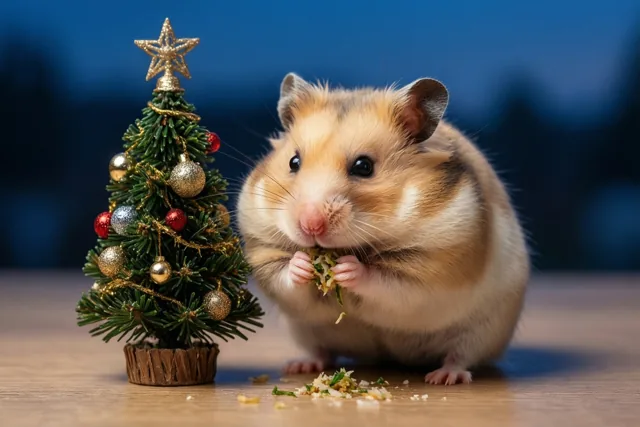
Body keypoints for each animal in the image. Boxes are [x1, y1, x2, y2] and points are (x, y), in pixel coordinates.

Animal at [236, 73, 529, 385]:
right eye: (294, 162)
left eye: (364, 166)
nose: (310, 224)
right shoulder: (263, 250)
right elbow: (285, 278)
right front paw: (302, 263)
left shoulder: (431, 269)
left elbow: (384, 283)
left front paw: (347, 269)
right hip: (305, 332)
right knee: (321, 352)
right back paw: (299, 365)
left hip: (481, 332)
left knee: (461, 356)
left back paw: (443, 377)